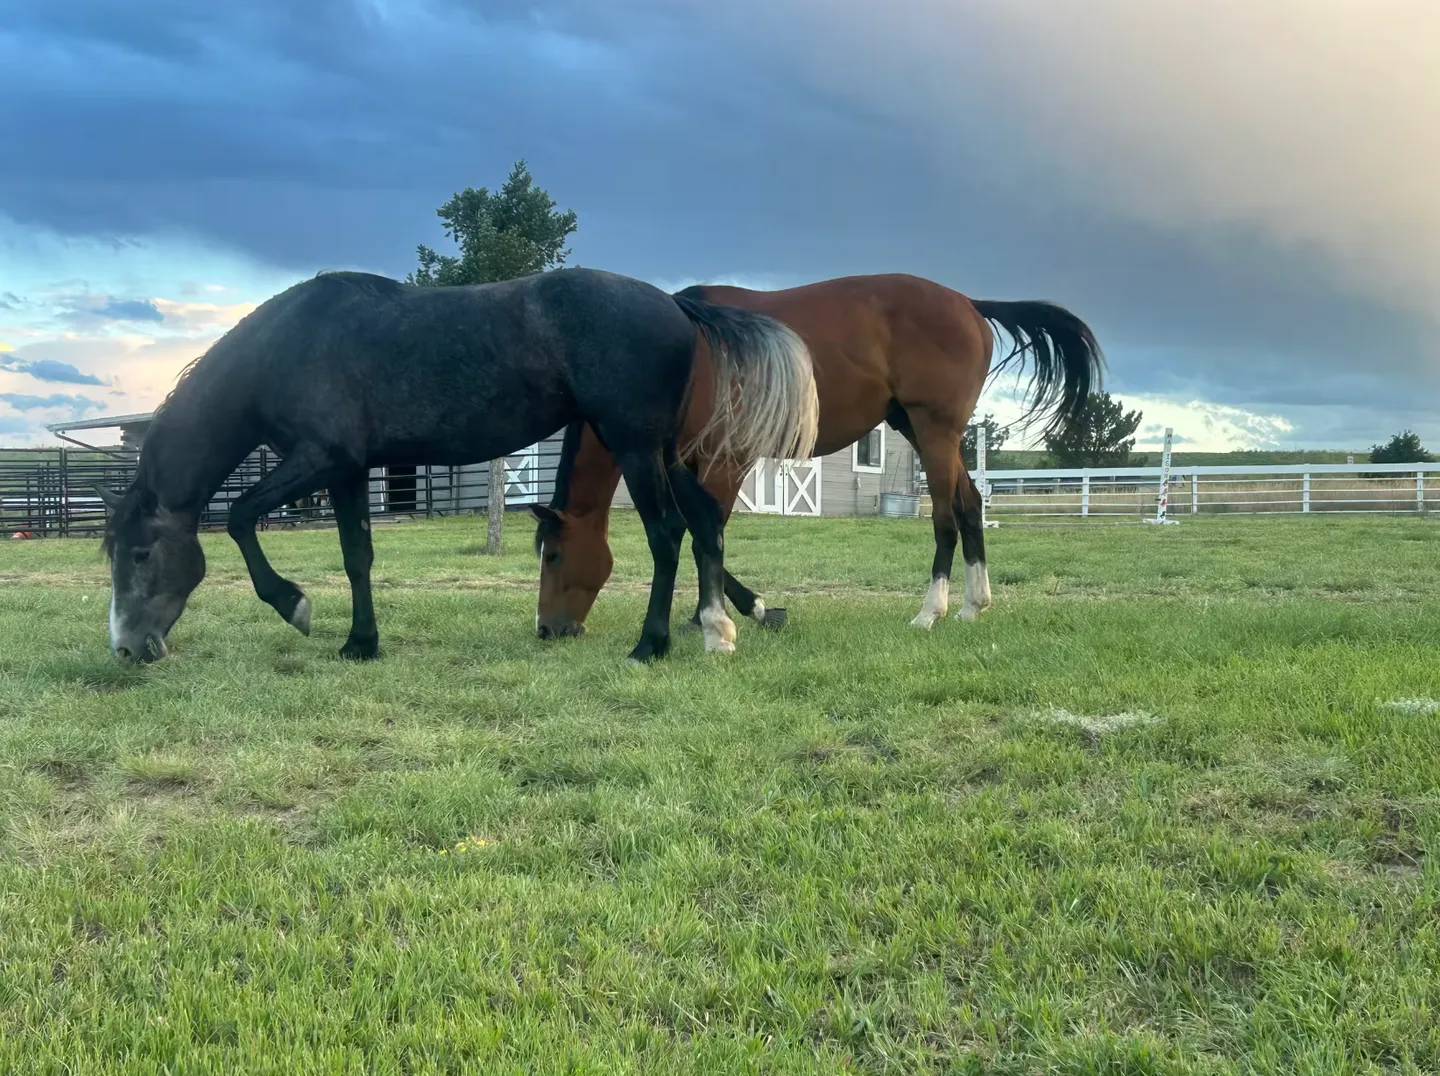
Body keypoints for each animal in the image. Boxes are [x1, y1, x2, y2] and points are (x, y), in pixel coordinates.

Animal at [96, 267, 818, 664]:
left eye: (140, 554)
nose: (126, 648)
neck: (289, 347)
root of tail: (675, 304)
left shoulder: (320, 459)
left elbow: (243, 516)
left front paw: (293, 604)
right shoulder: (348, 470)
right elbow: (357, 556)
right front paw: (360, 643)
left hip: (635, 447)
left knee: (668, 535)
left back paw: (651, 645)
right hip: (663, 449)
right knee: (705, 523)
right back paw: (719, 629)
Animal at [532, 273, 1102, 637]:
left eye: (554, 554)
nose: (548, 629)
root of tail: (968, 302)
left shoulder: (724, 461)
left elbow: (706, 531)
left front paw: (733, 612)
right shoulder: (684, 463)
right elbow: (701, 530)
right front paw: (729, 612)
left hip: (933, 429)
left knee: (944, 515)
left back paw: (930, 611)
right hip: (921, 429)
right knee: (969, 505)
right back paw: (972, 605)